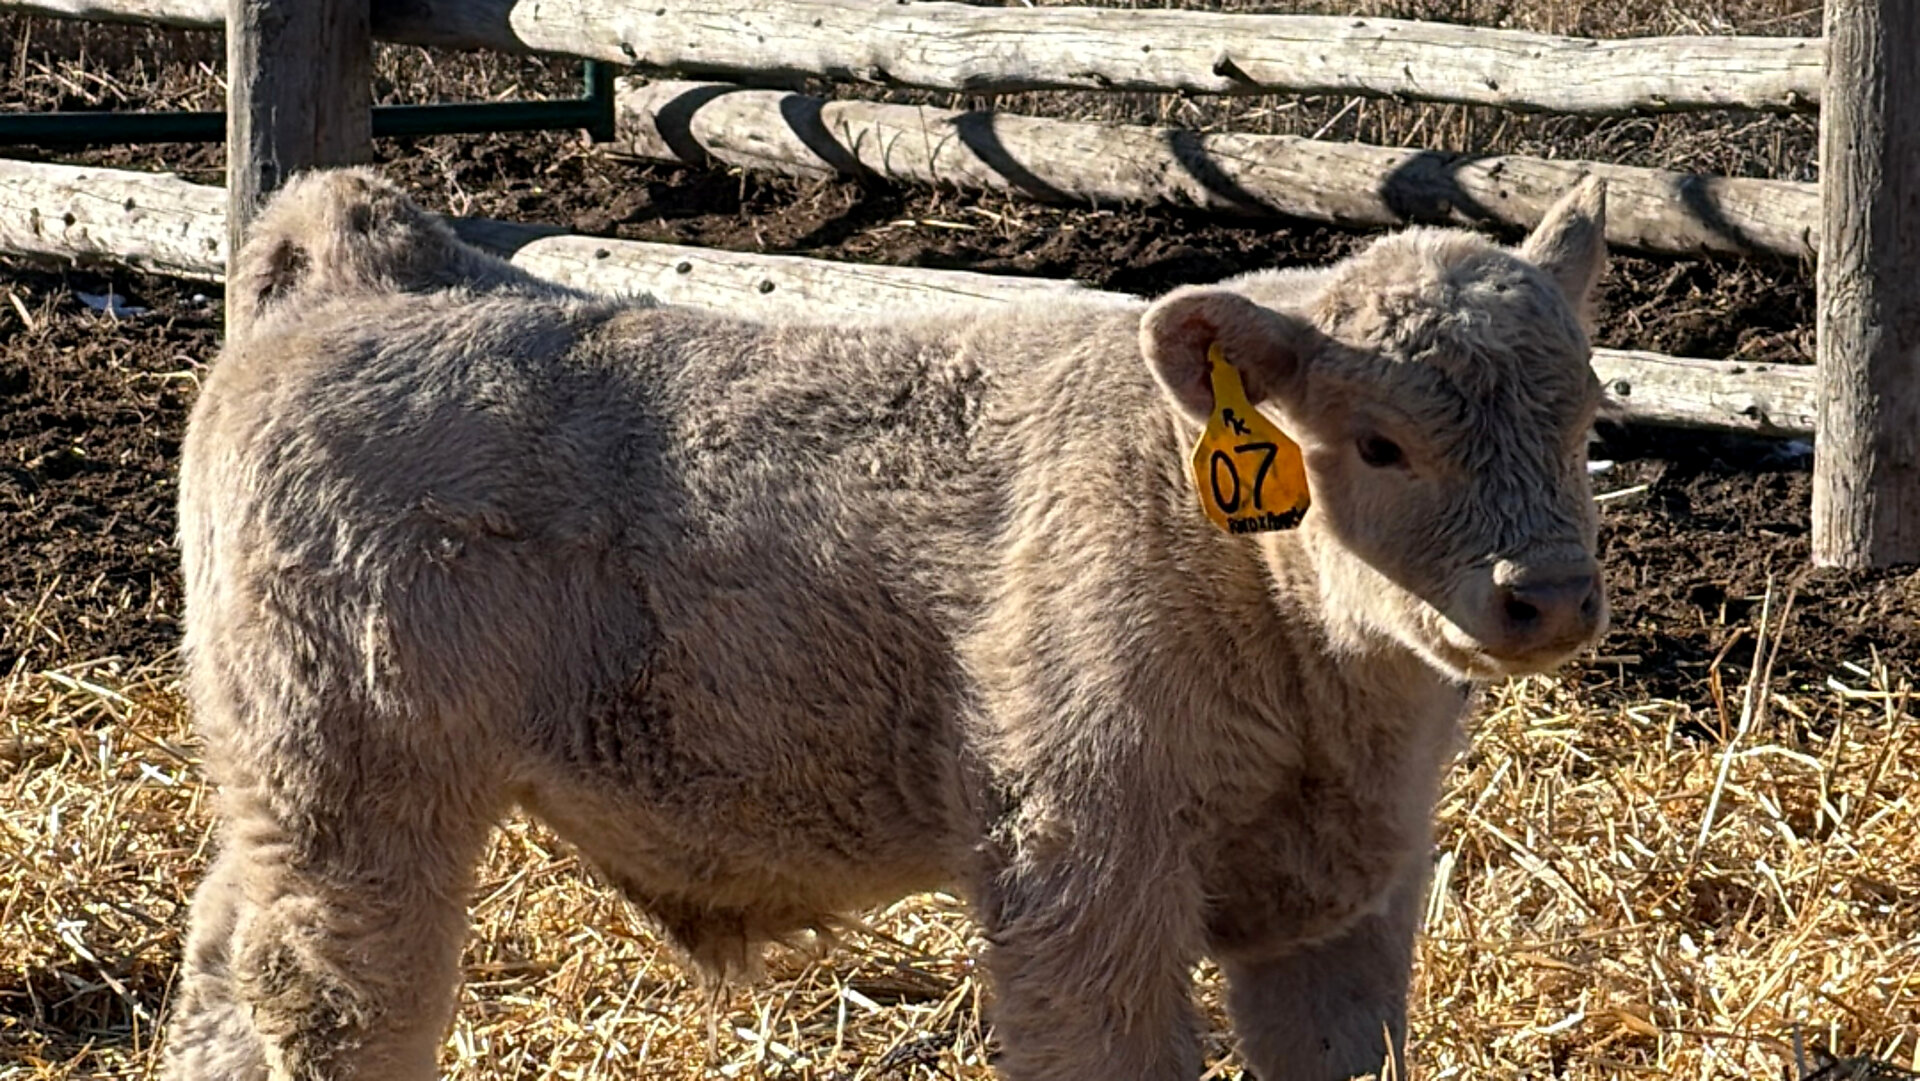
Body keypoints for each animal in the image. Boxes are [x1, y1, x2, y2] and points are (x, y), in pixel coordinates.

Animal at [165, 166, 1609, 1081]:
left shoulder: (1352, 904)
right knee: (327, 1007)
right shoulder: (1081, 873)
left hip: (283, 792)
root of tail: (371, 275)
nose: (1545, 593)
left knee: (220, 978)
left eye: (1589, 416)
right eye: (1380, 443)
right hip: (358, 789)